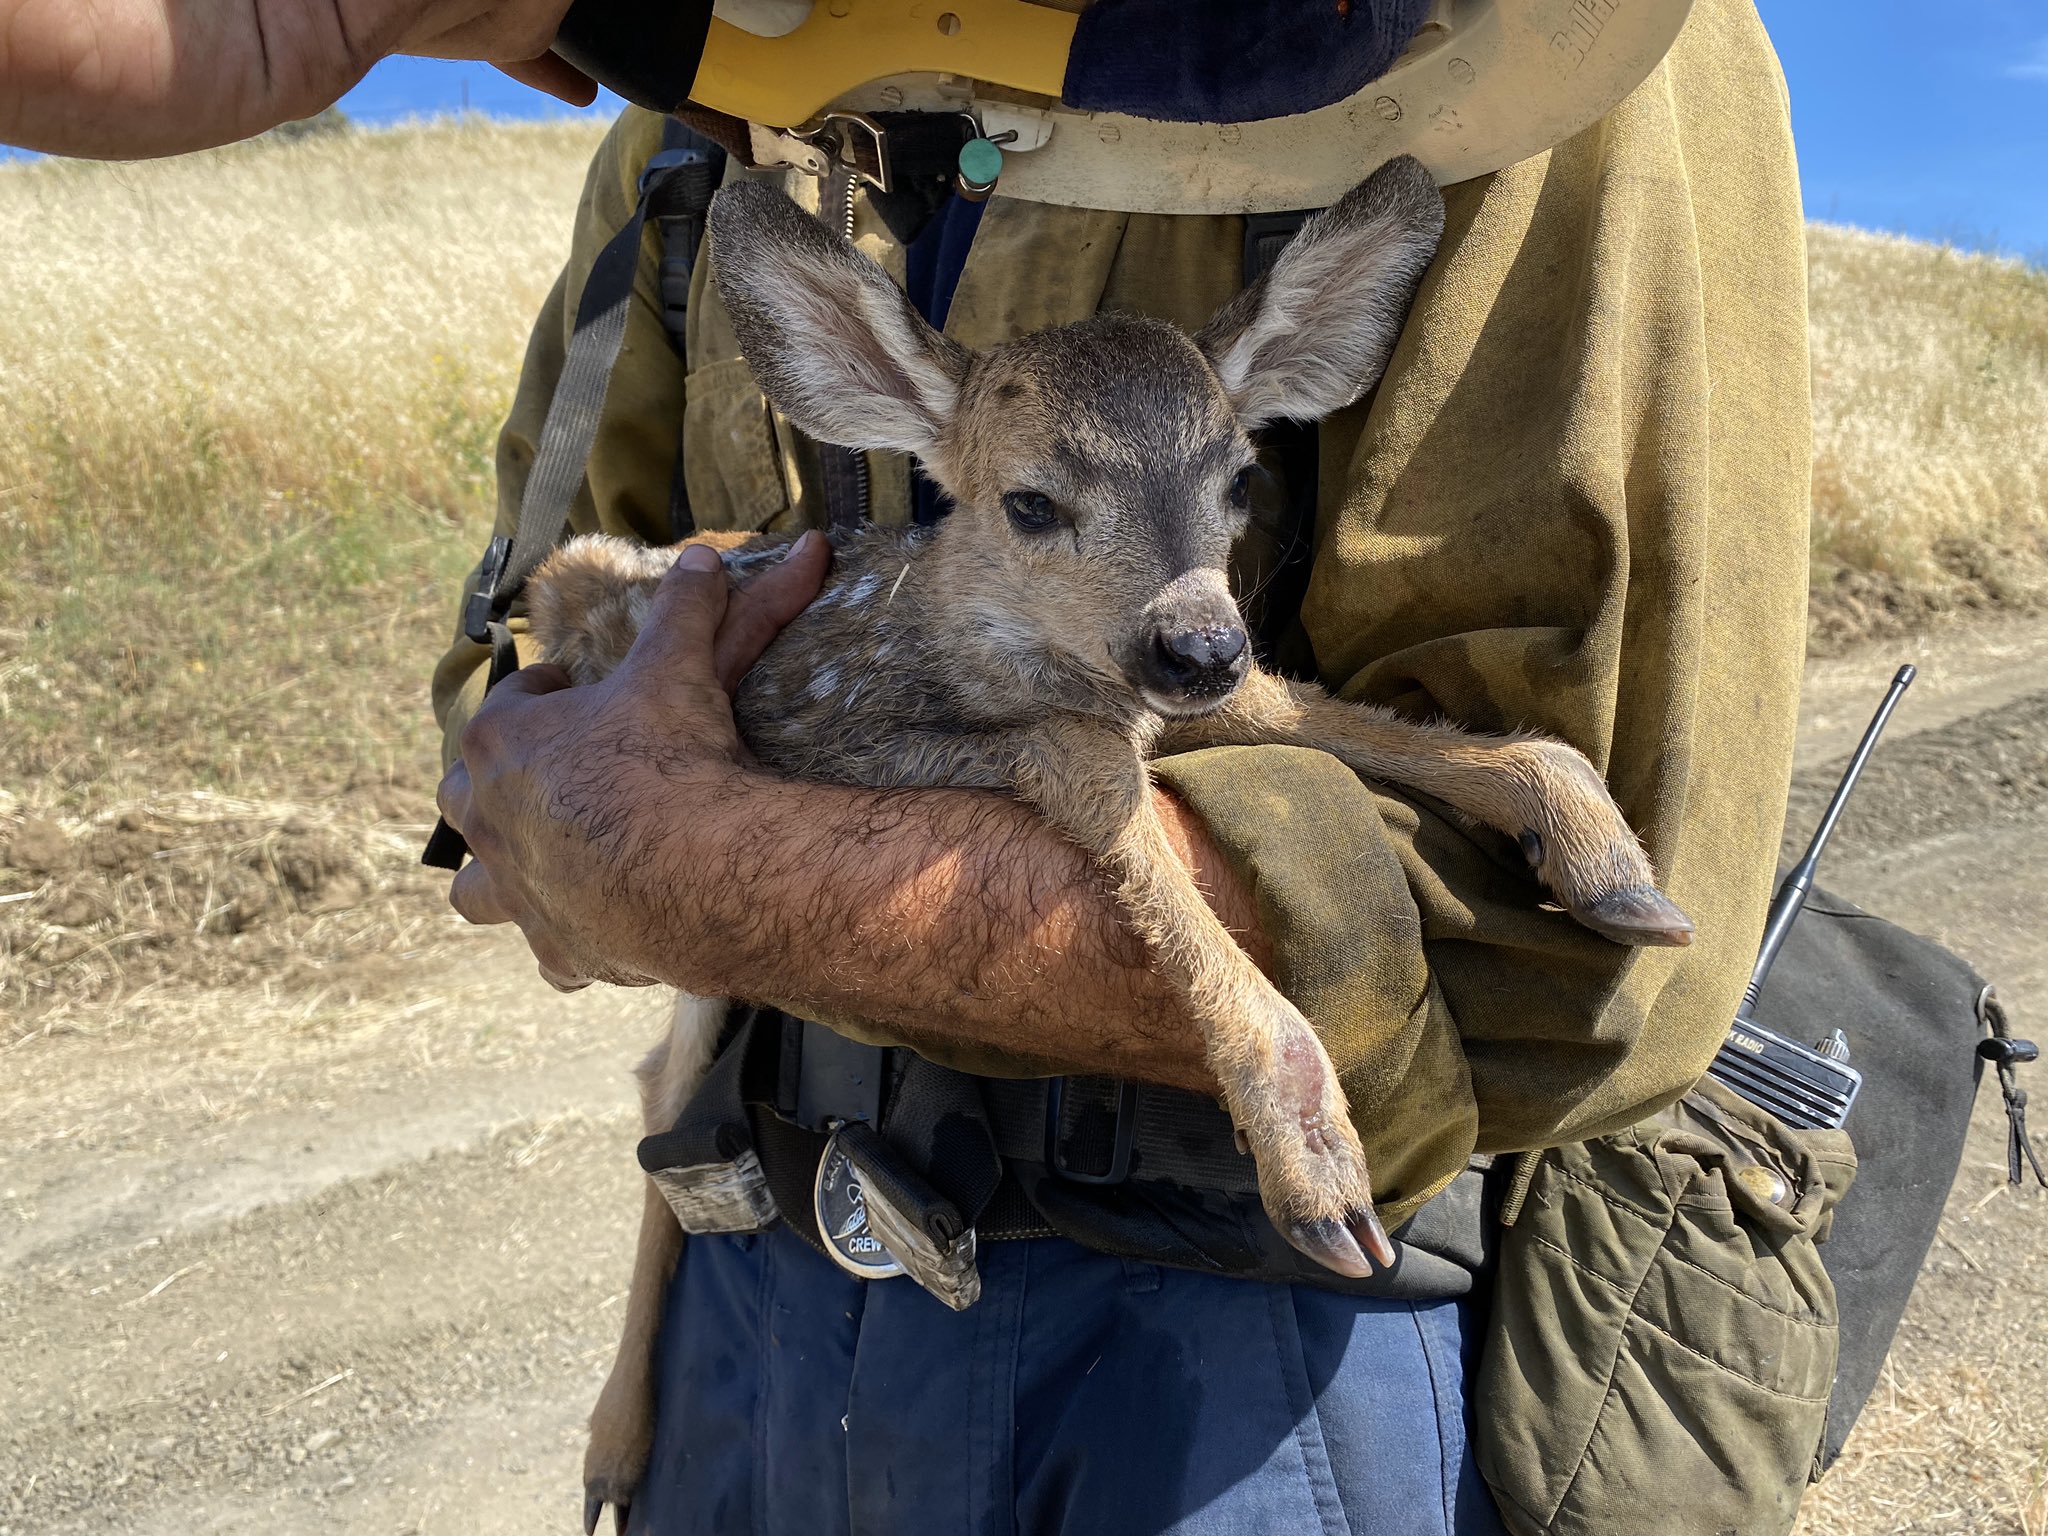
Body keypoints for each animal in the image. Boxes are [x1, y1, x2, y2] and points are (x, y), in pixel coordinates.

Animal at [532, 162, 1695, 1531]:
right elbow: (1091, 771)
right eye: (1031, 501)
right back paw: (611, 1450)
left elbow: (1298, 717)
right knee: (664, 1082)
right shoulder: (831, 732)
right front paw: (1313, 1166)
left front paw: (1601, 851)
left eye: (1239, 480)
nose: (1194, 643)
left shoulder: (1205, 697)